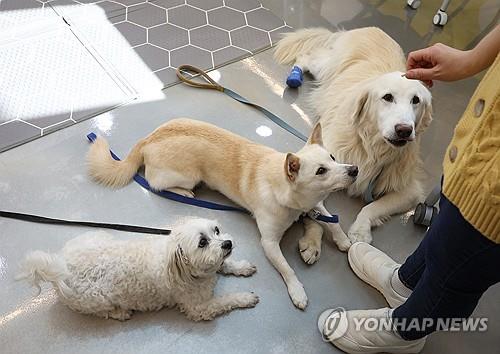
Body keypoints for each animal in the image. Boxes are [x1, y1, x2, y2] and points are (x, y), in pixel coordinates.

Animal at [16, 217, 258, 322]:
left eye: (216, 230)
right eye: (202, 243)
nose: (227, 243)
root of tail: (61, 268)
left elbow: (226, 264)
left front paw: (242, 267)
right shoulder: (199, 308)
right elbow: (224, 301)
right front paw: (245, 297)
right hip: (94, 300)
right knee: (102, 311)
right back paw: (120, 313)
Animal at [87, 118, 360, 306]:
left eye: (333, 158)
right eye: (321, 171)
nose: (354, 169)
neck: (292, 199)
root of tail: (147, 139)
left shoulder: (316, 205)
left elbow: (331, 222)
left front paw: (342, 240)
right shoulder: (269, 243)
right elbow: (287, 269)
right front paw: (297, 291)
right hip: (188, 176)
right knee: (155, 183)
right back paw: (184, 193)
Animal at [276, 27, 432, 249]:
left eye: (416, 100)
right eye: (387, 97)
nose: (404, 130)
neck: (372, 148)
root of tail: (374, 28)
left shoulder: (410, 191)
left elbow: (373, 207)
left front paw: (360, 230)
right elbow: (316, 211)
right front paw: (313, 241)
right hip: (325, 67)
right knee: (306, 56)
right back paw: (295, 76)